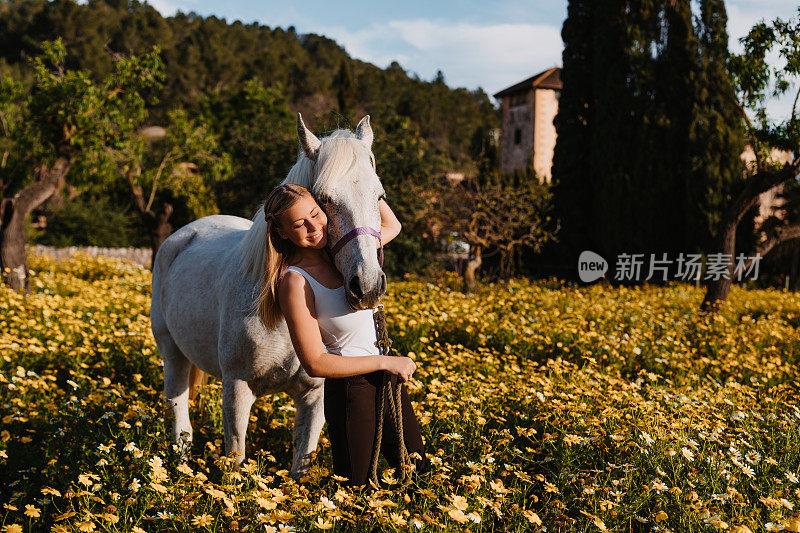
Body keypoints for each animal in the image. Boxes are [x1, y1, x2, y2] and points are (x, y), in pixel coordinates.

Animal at [152, 114, 390, 476]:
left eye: (379, 196)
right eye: (324, 199)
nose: (367, 287)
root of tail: (182, 235)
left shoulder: (314, 398)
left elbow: (300, 465)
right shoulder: (237, 390)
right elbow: (236, 461)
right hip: (171, 352)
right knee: (180, 415)